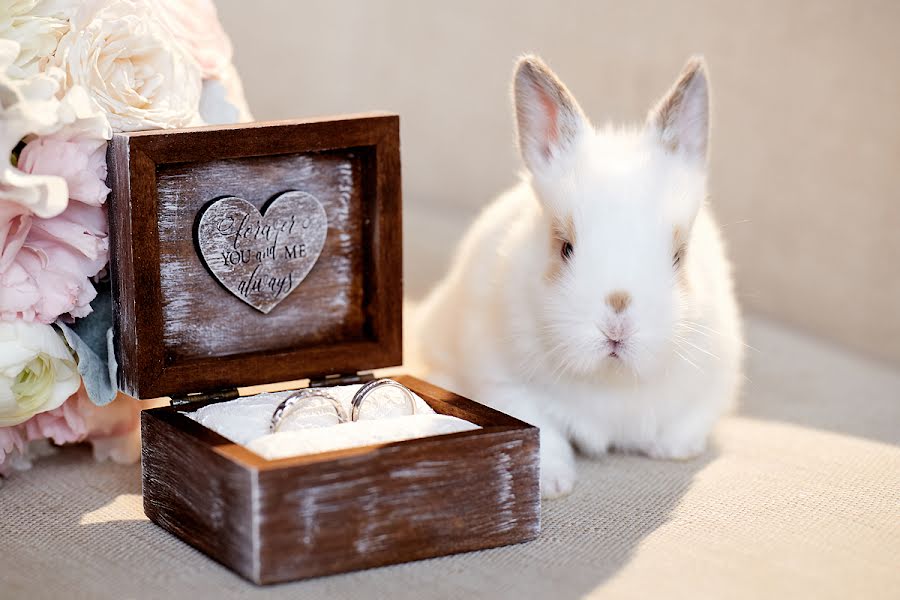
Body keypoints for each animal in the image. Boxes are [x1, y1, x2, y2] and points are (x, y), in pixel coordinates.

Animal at [412, 55, 740, 496]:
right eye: (565, 246)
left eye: (678, 255)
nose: (617, 324)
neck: (608, 381)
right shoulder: (505, 386)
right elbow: (543, 436)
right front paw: (553, 485)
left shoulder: (715, 380)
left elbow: (691, 419)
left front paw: (673, 450)